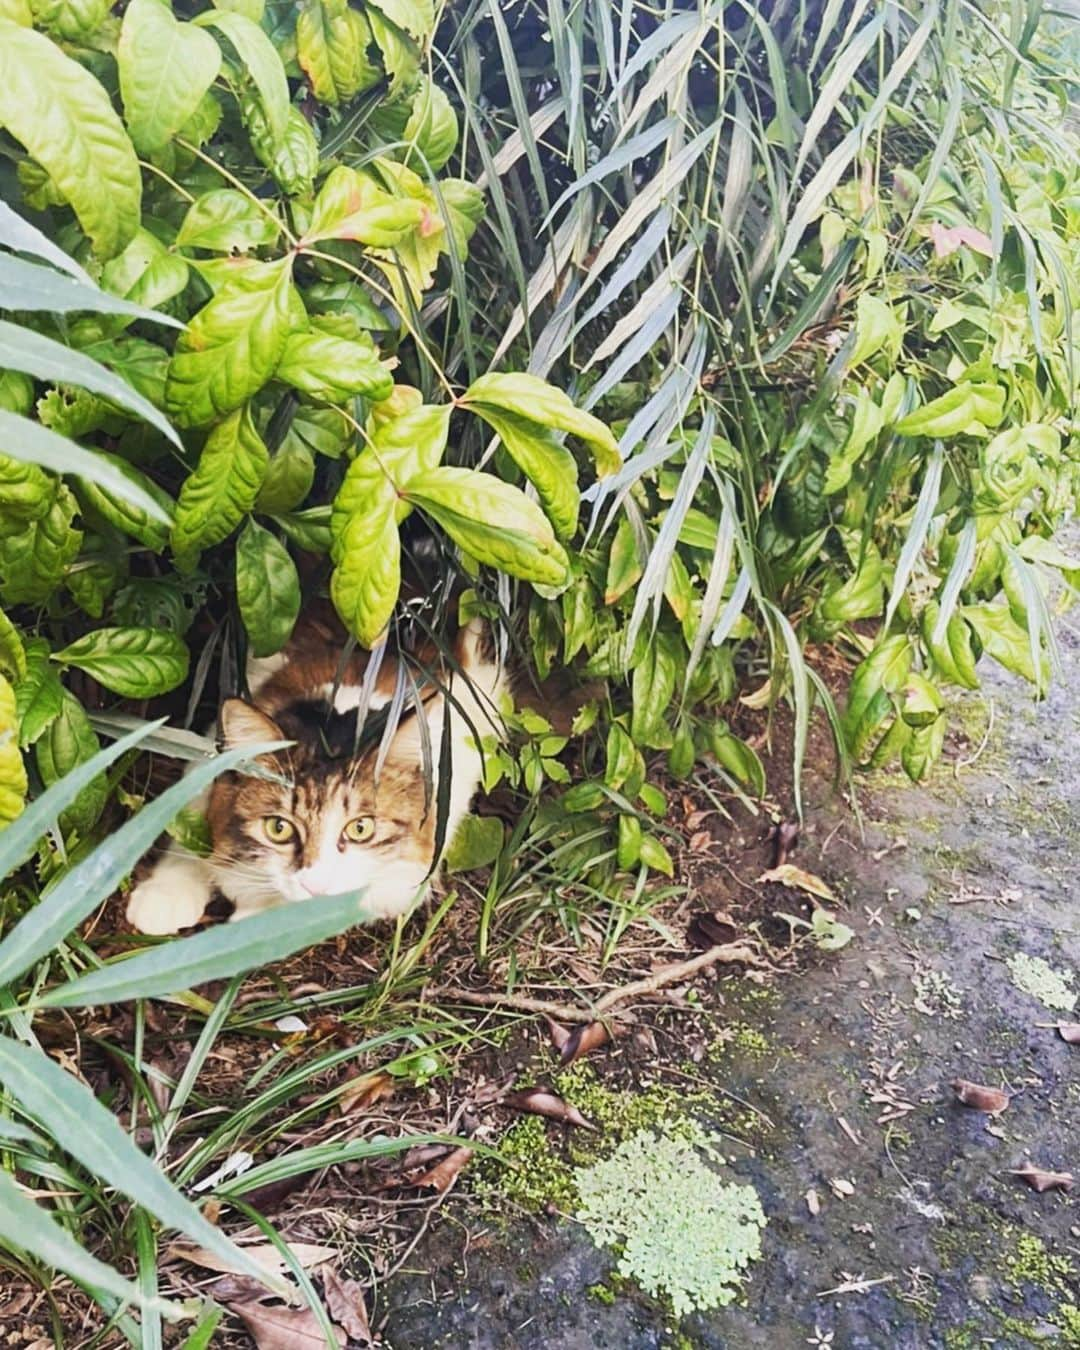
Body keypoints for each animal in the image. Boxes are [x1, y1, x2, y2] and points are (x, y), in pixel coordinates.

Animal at [128, 615, 507, 939]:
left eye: (360, 828)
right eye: (278, 828)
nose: (315, 887)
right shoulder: (205, 750)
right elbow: (188, 820)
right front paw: (164, 895)